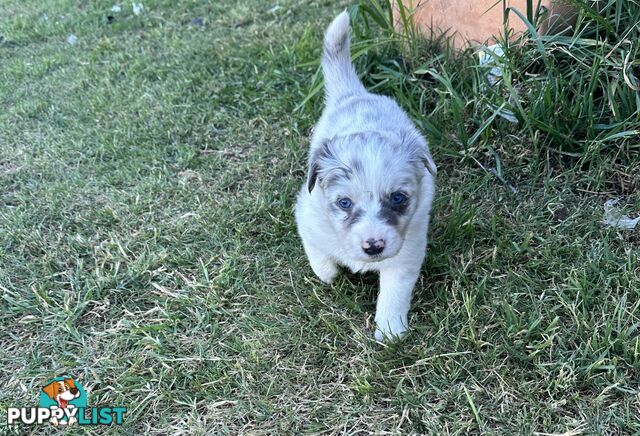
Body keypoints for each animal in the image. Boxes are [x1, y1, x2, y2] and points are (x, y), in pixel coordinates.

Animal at [296, 11, 438, 340]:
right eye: (344, 203)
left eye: (398, 198)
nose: (373, 246)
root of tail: (355, 93)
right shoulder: (307, 217)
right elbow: (321, 261)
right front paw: (329, 274)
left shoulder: (407, 252)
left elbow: (394, 294)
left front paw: (390, 332)